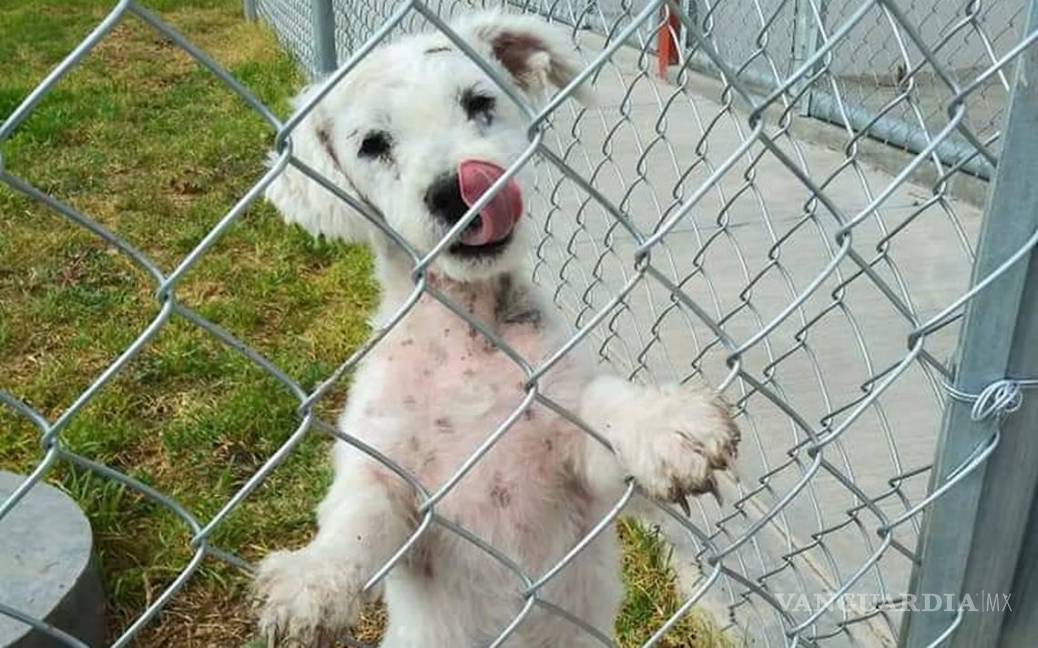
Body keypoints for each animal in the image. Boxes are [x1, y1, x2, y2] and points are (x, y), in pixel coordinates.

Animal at [254, 11, 739, 647]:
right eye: (373, 144)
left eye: (478, 102)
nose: (460, 190)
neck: (466, 333)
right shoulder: (390, 478)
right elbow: (357, 519)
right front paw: (312, 579)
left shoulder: (577, 460)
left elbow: (603, 406)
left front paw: (664, 424)